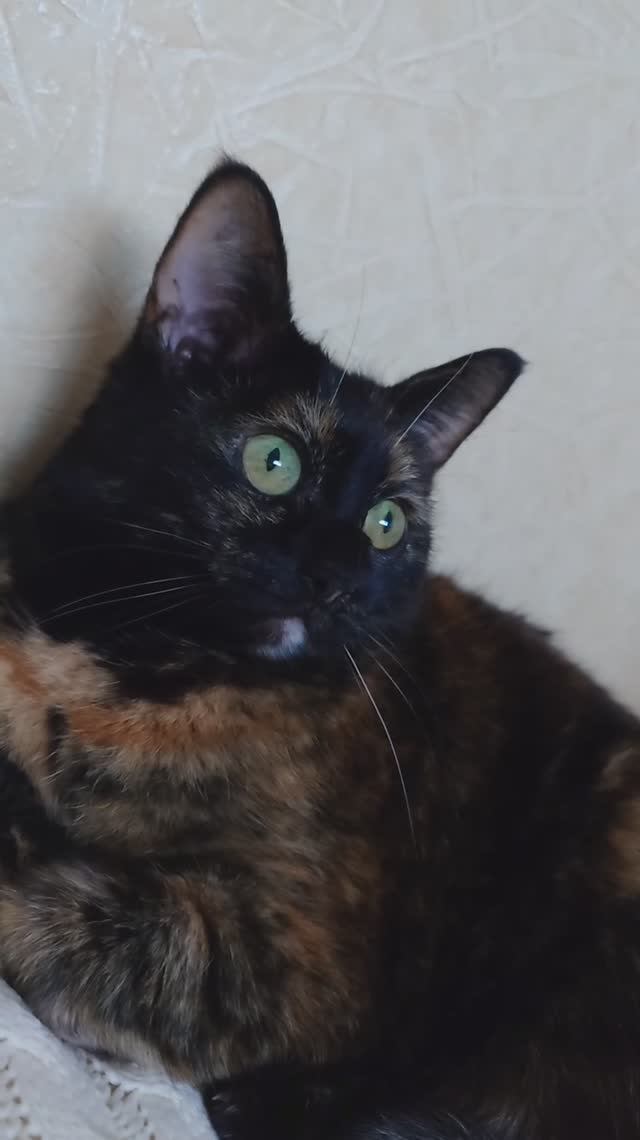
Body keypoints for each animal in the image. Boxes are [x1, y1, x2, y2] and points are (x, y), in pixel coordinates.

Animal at [0, 158, 639, 1140]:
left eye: (387, 524)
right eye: (275, 461)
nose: (336, 576)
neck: (110, 666)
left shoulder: (304, 956)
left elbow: (117, 926)